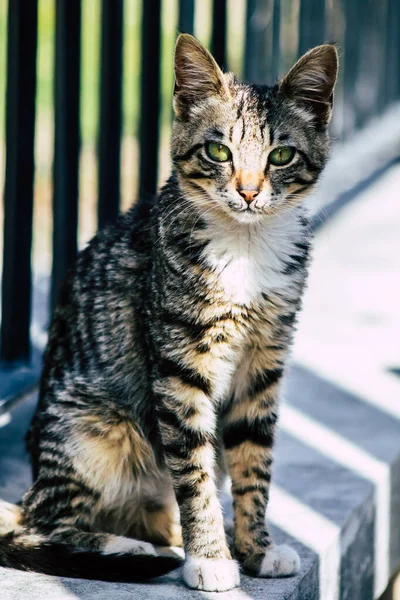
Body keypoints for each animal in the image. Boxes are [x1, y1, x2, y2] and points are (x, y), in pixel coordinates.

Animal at [0, 34, 338, 592]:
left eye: (282, 155)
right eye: (218, 151)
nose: (248, 191)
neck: (245, 245)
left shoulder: (264, 363)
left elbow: (254, 463)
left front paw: (256, 549)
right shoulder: (180, 365)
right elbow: (193, 470)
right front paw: (210, 559)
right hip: (91, 429)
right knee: (42, 520)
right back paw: (129, 546)